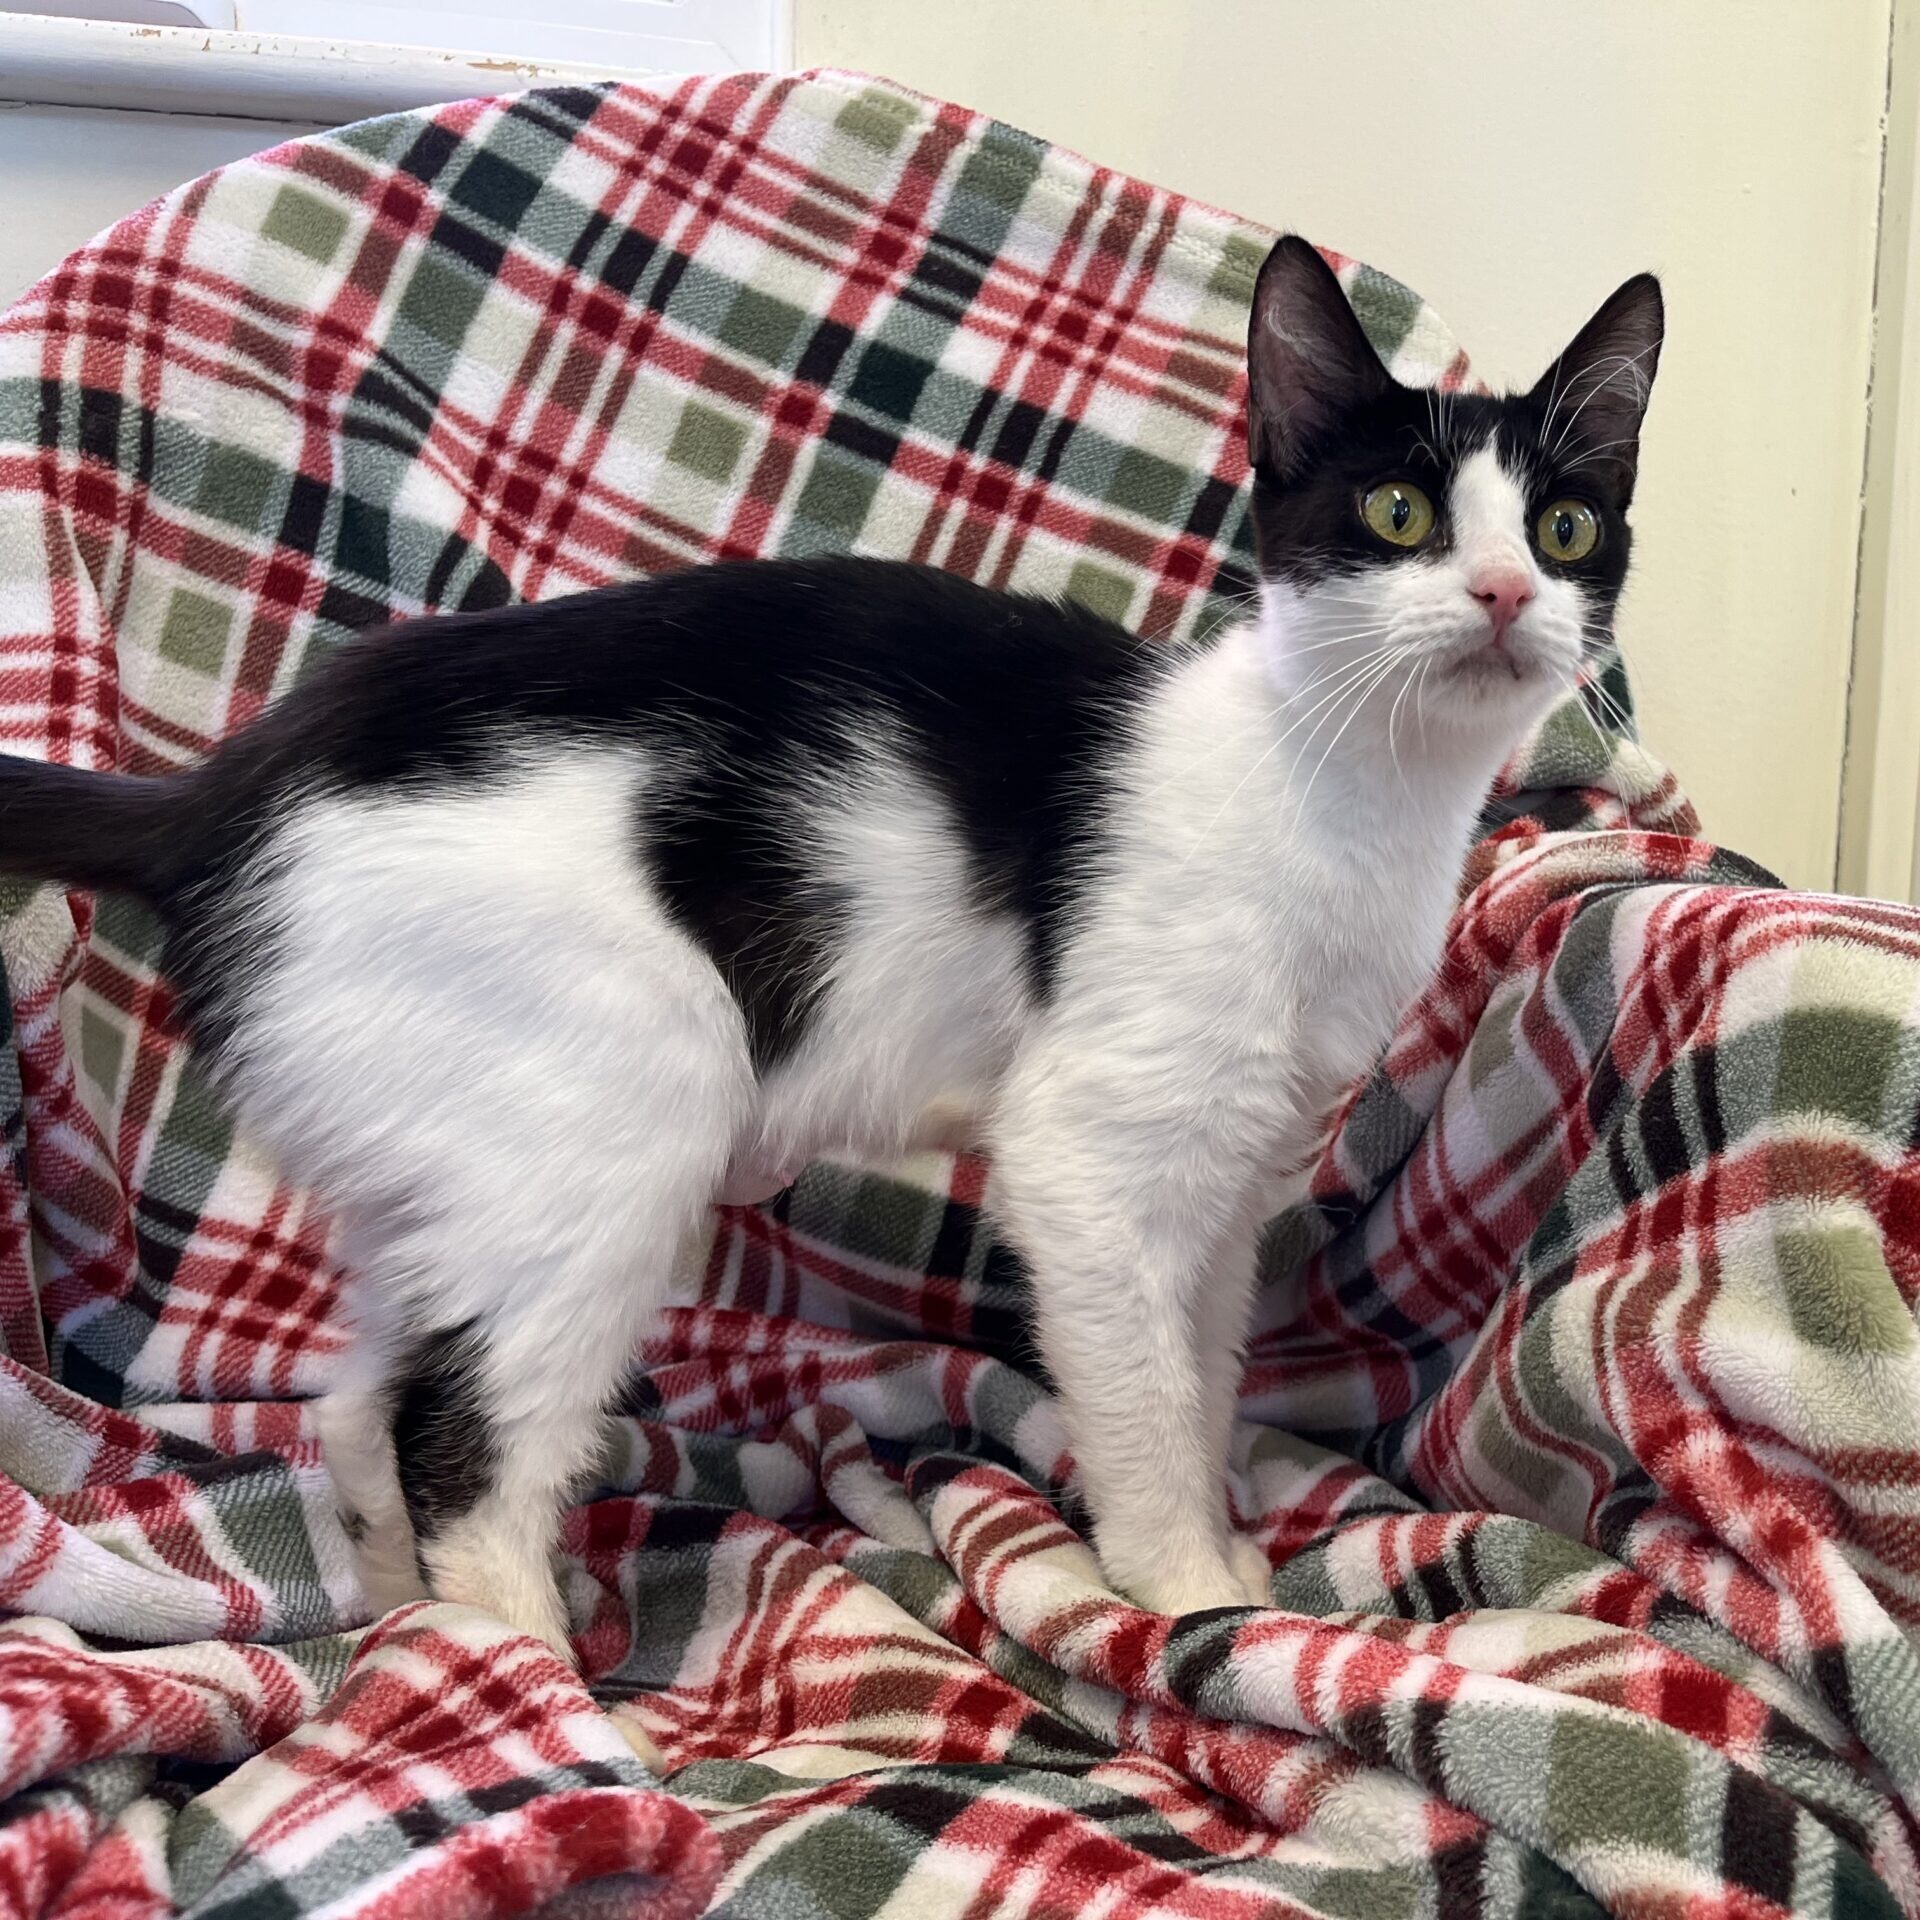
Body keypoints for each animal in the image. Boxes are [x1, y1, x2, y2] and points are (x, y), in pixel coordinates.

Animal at [0, 237, 1662, 1656]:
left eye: (1566, 526)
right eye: (1400, 517)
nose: (1506, 593)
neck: (1343, 788)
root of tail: (222, 788)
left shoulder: (1233, 1182)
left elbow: (1200, 1374)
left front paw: (1223, 1537)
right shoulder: (1087, 1164)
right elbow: (1136, 1401)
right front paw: (1190, 1591)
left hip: (438, 1153)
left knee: (358, 1405)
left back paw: (402, 1618)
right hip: (620, 1115)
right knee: (462, 1448)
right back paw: (531, 1676)